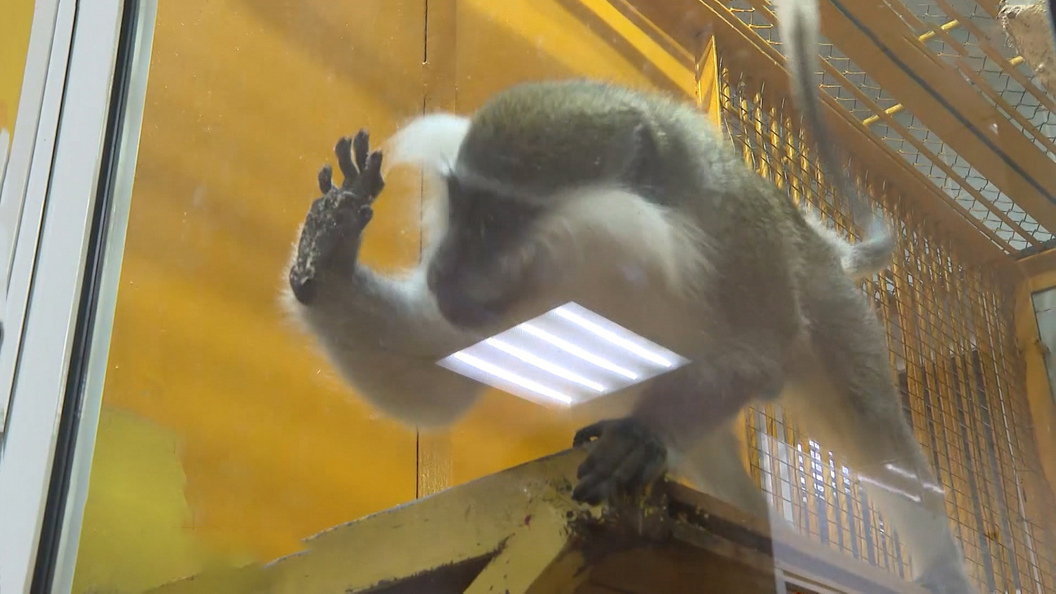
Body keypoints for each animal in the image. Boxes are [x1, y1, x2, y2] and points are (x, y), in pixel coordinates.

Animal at [281, 79, 972, 592]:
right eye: (461, 206)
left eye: (494, 222)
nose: (442, 271)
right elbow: (432, 375)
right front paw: (331, 250)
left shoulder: (738, 245)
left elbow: (757, 358)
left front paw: (643, 434)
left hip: (829, 305)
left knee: (867, 424)